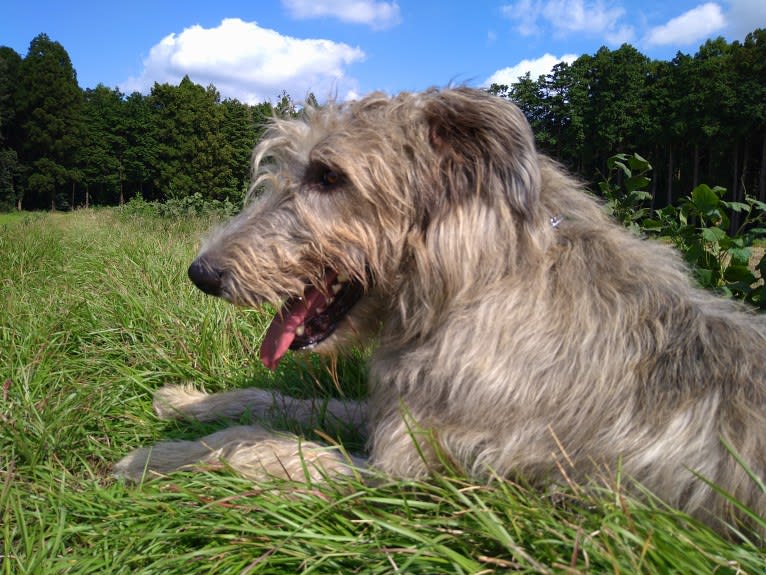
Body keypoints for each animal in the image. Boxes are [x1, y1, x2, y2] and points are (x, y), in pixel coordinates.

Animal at [114, 89, 766, 536]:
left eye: (328, 175)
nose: (202, 273)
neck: (472, 285)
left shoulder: (412, 477)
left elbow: (259, 446)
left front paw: (160, 458)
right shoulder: (397, 407)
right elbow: (277, 402)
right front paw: (188, 404)